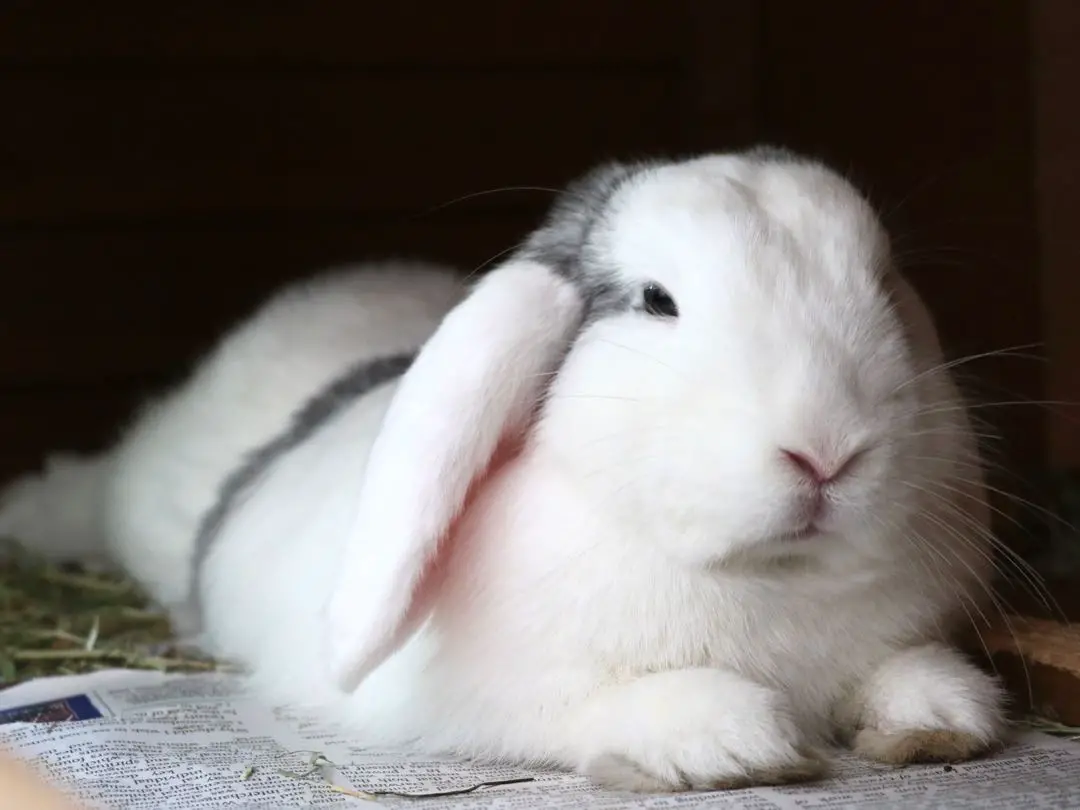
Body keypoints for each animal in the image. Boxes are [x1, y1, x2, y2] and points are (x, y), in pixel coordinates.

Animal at [0, 147, 1007, 793]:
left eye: (883, 282)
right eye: (658, 301)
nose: (828, 449)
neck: (769, 579)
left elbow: (909, 674)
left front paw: (935, 717)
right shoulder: (494, 704)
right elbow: (603, 707)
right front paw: (732, 739)